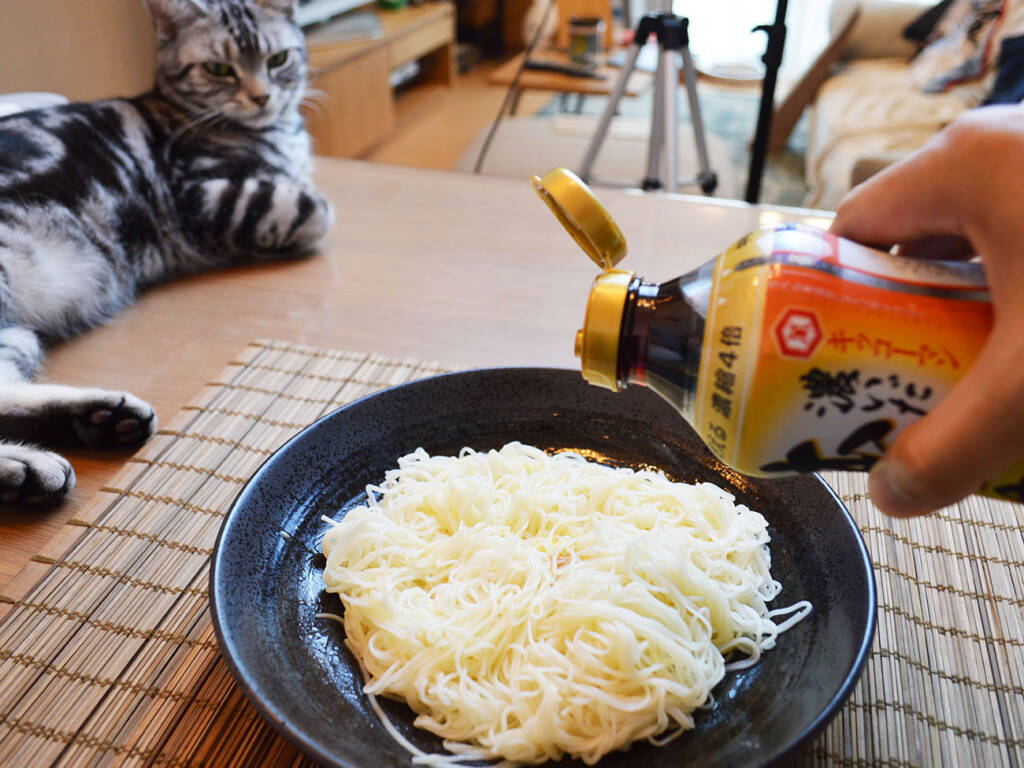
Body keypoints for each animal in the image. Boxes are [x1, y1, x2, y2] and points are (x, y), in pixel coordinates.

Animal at [0, 0, 331, 505]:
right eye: (218, 69)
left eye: (277, 60)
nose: (261, 97)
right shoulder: (206, 199)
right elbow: (314, 208)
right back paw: (31, 462)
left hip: (18, 334)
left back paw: (90, 426)